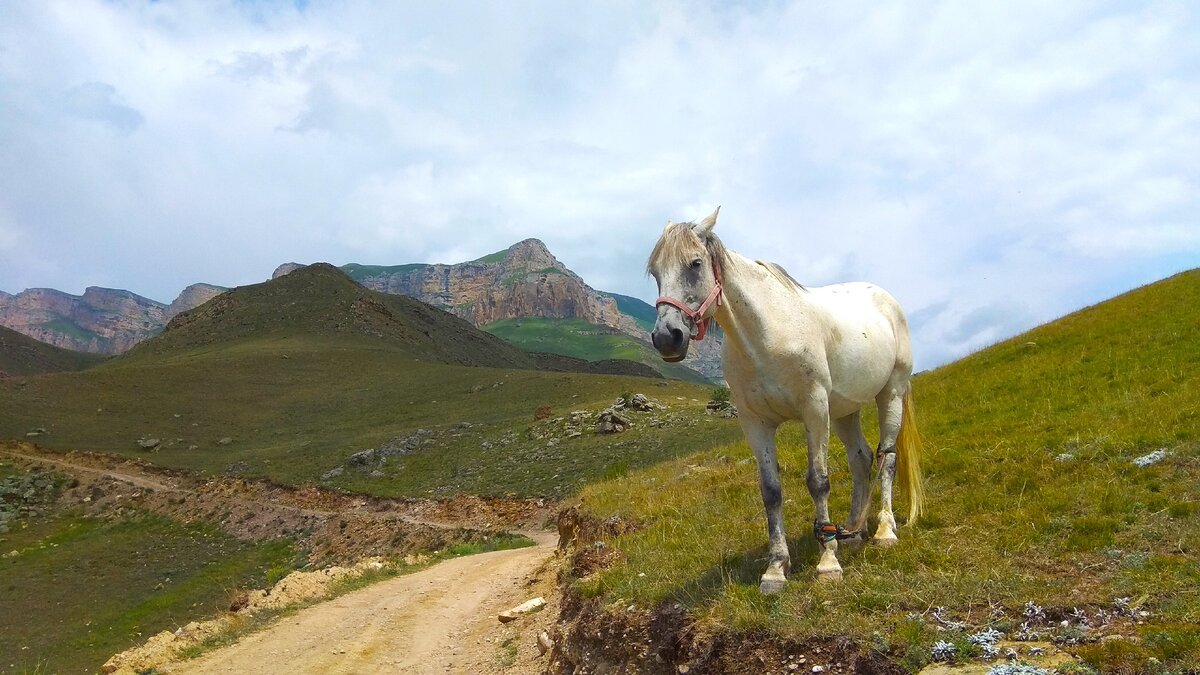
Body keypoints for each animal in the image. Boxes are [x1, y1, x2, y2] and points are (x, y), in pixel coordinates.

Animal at [652, 207, 921, 590]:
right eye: (655, 273)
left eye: (695, 264)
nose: (667, 338)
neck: (767, 336)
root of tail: (887, 300)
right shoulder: (756, 424)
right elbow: (771, 491)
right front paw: (776, 568)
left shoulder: (814, 410)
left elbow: (818, 482)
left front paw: (828, 562)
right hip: (845, 411)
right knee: (861, 459)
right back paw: (852, 533)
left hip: (891, 394)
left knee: (887, 457)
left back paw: (884, 531)